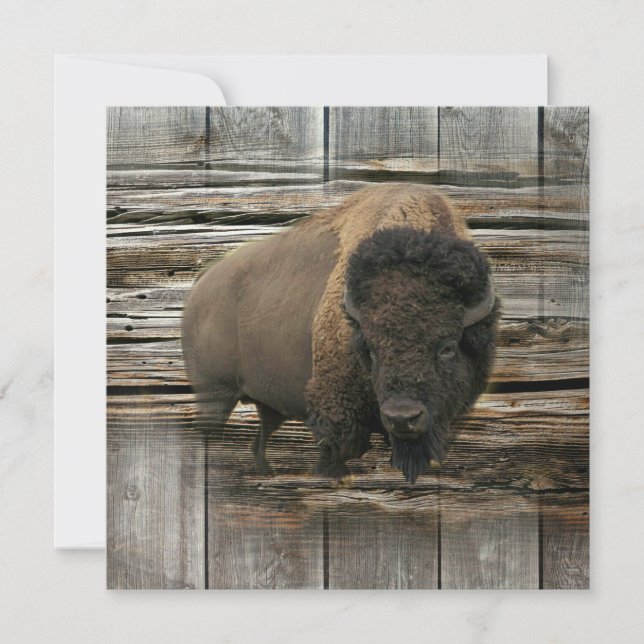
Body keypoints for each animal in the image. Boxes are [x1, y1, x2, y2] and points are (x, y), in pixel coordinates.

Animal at [182, 184, 499, 483]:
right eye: (370, 348)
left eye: (448, 347)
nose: (402, 417)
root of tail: (202, 283)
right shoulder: (336, 412)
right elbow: (335, 453)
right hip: (215, 395)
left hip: (264, 403)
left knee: (258, 441)